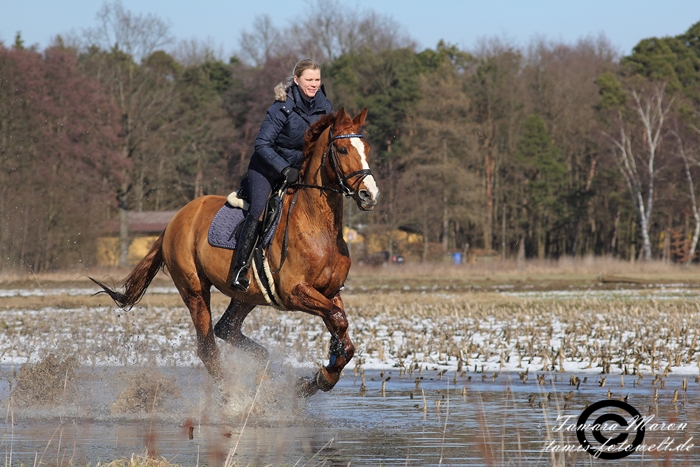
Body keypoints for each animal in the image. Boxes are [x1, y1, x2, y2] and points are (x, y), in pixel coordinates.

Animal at [92, 109, 380, 398]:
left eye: (367, 148)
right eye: (342, 149)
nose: (370, 194)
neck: (318, 226)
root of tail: (175, 219)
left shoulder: (329, 292)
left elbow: (342, 330)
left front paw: (321, 376)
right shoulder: (294, 291)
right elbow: (338, 320)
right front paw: (321, 375)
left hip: (246, 295)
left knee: (226, 328)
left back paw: (262, 369)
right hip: (195, 291)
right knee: (208, 347)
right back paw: (233, 397)